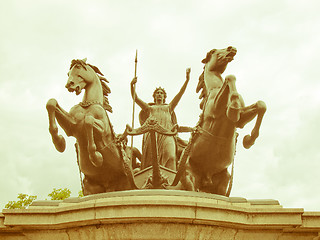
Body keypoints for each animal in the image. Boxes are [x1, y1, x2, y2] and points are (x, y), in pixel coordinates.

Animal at [176, 46, 266, 195]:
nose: (232, 48)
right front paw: (233, 106)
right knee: (192, 190)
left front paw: (249, 140)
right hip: (189, 177)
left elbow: (261, 105)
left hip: (223, 182)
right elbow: (230, 77)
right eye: (213, 51)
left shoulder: (241, 120)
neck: (215, 88)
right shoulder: (216, 110)